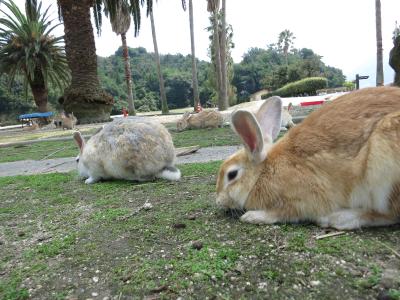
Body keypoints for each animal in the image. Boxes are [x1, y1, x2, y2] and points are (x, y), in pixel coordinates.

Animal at [216, 86, 400, 230]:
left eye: (232, 175)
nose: (218, 200)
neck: (263, 173)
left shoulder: (302, 200)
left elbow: (283, 213)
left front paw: (252, 216)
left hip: (383, 169)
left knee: (389, 215)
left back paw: (336, 219)